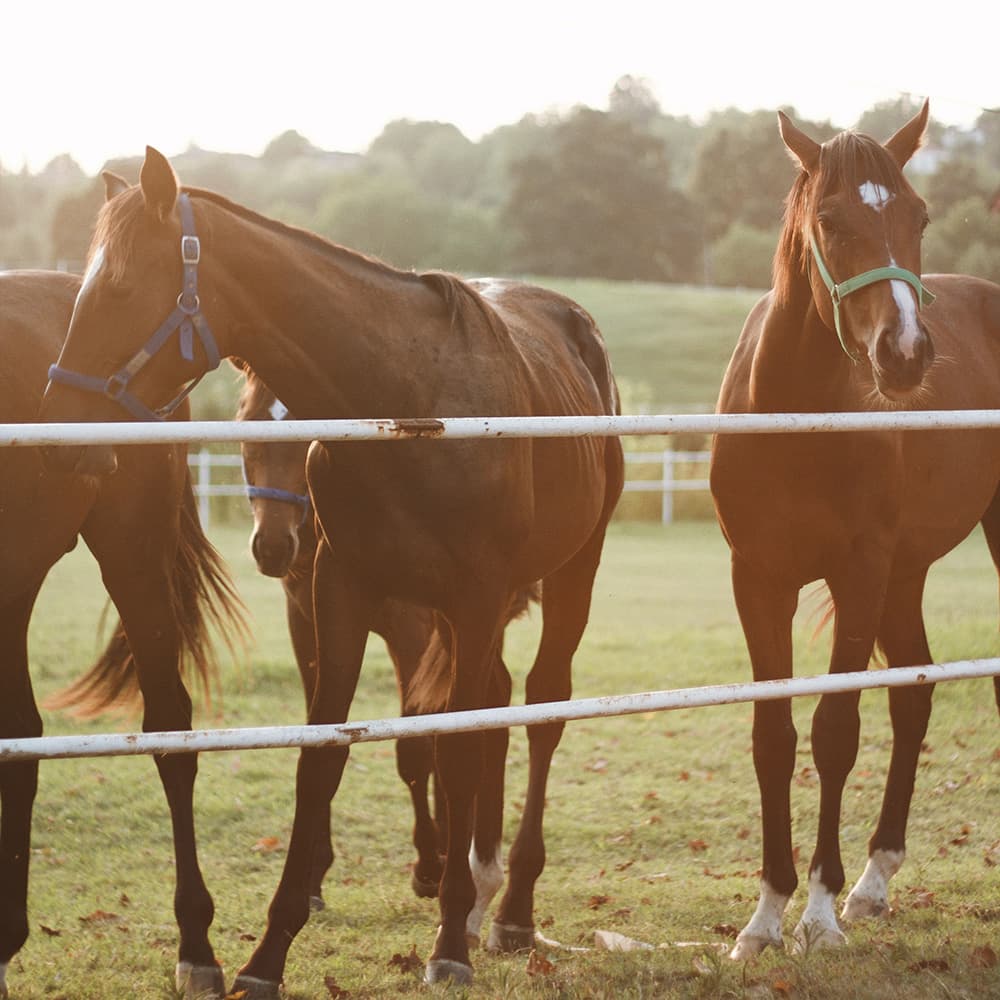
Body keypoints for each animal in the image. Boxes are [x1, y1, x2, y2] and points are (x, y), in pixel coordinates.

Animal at [237, 367, 538, 907]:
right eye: (249, 426)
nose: (271, 546)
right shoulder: (308, 627)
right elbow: (322, 729)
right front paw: (313, 872)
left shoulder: (412, 630)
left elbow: (416, 747)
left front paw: (429, 863)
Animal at [710, 100, 1000, 959]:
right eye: (832, 221)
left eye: (920, 215)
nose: (905, 356)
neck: (796, 414)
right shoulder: (759, 578)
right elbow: (773, 736)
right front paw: (764, 916)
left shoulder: (860, 570)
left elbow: (835, 730)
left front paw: (817, 911)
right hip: (907, 574)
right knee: (916, 691)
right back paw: (876, 878)